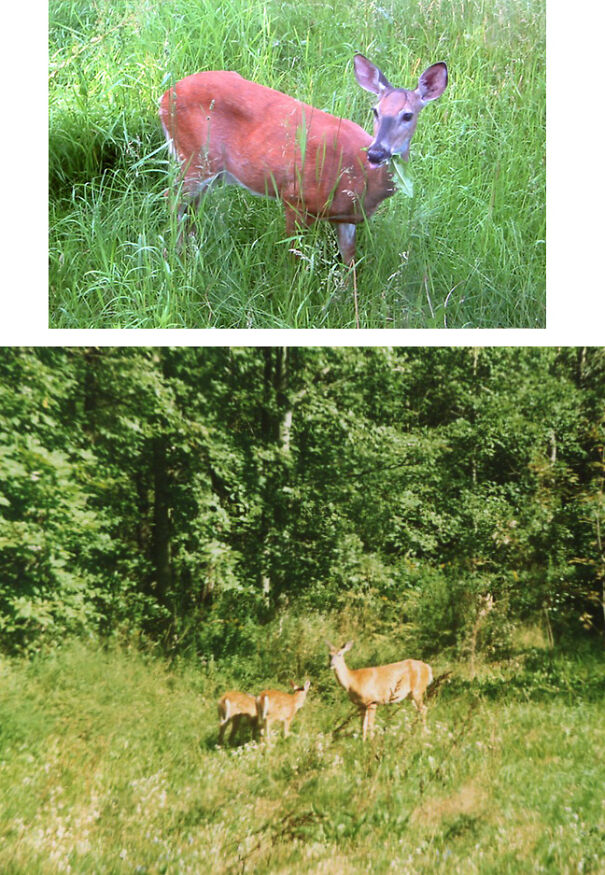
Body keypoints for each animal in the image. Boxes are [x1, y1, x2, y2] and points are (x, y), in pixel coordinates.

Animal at [159, 54, 447, 264]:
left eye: (408, 115)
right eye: (375, 110)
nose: (376, 153)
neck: (359, 175)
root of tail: (164, 97)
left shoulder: (347, 219)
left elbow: (350, 261)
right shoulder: (295, 197)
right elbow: (295, 256)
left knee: (191, 208)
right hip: (195, 156)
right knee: (171, 198)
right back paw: (175, 253)